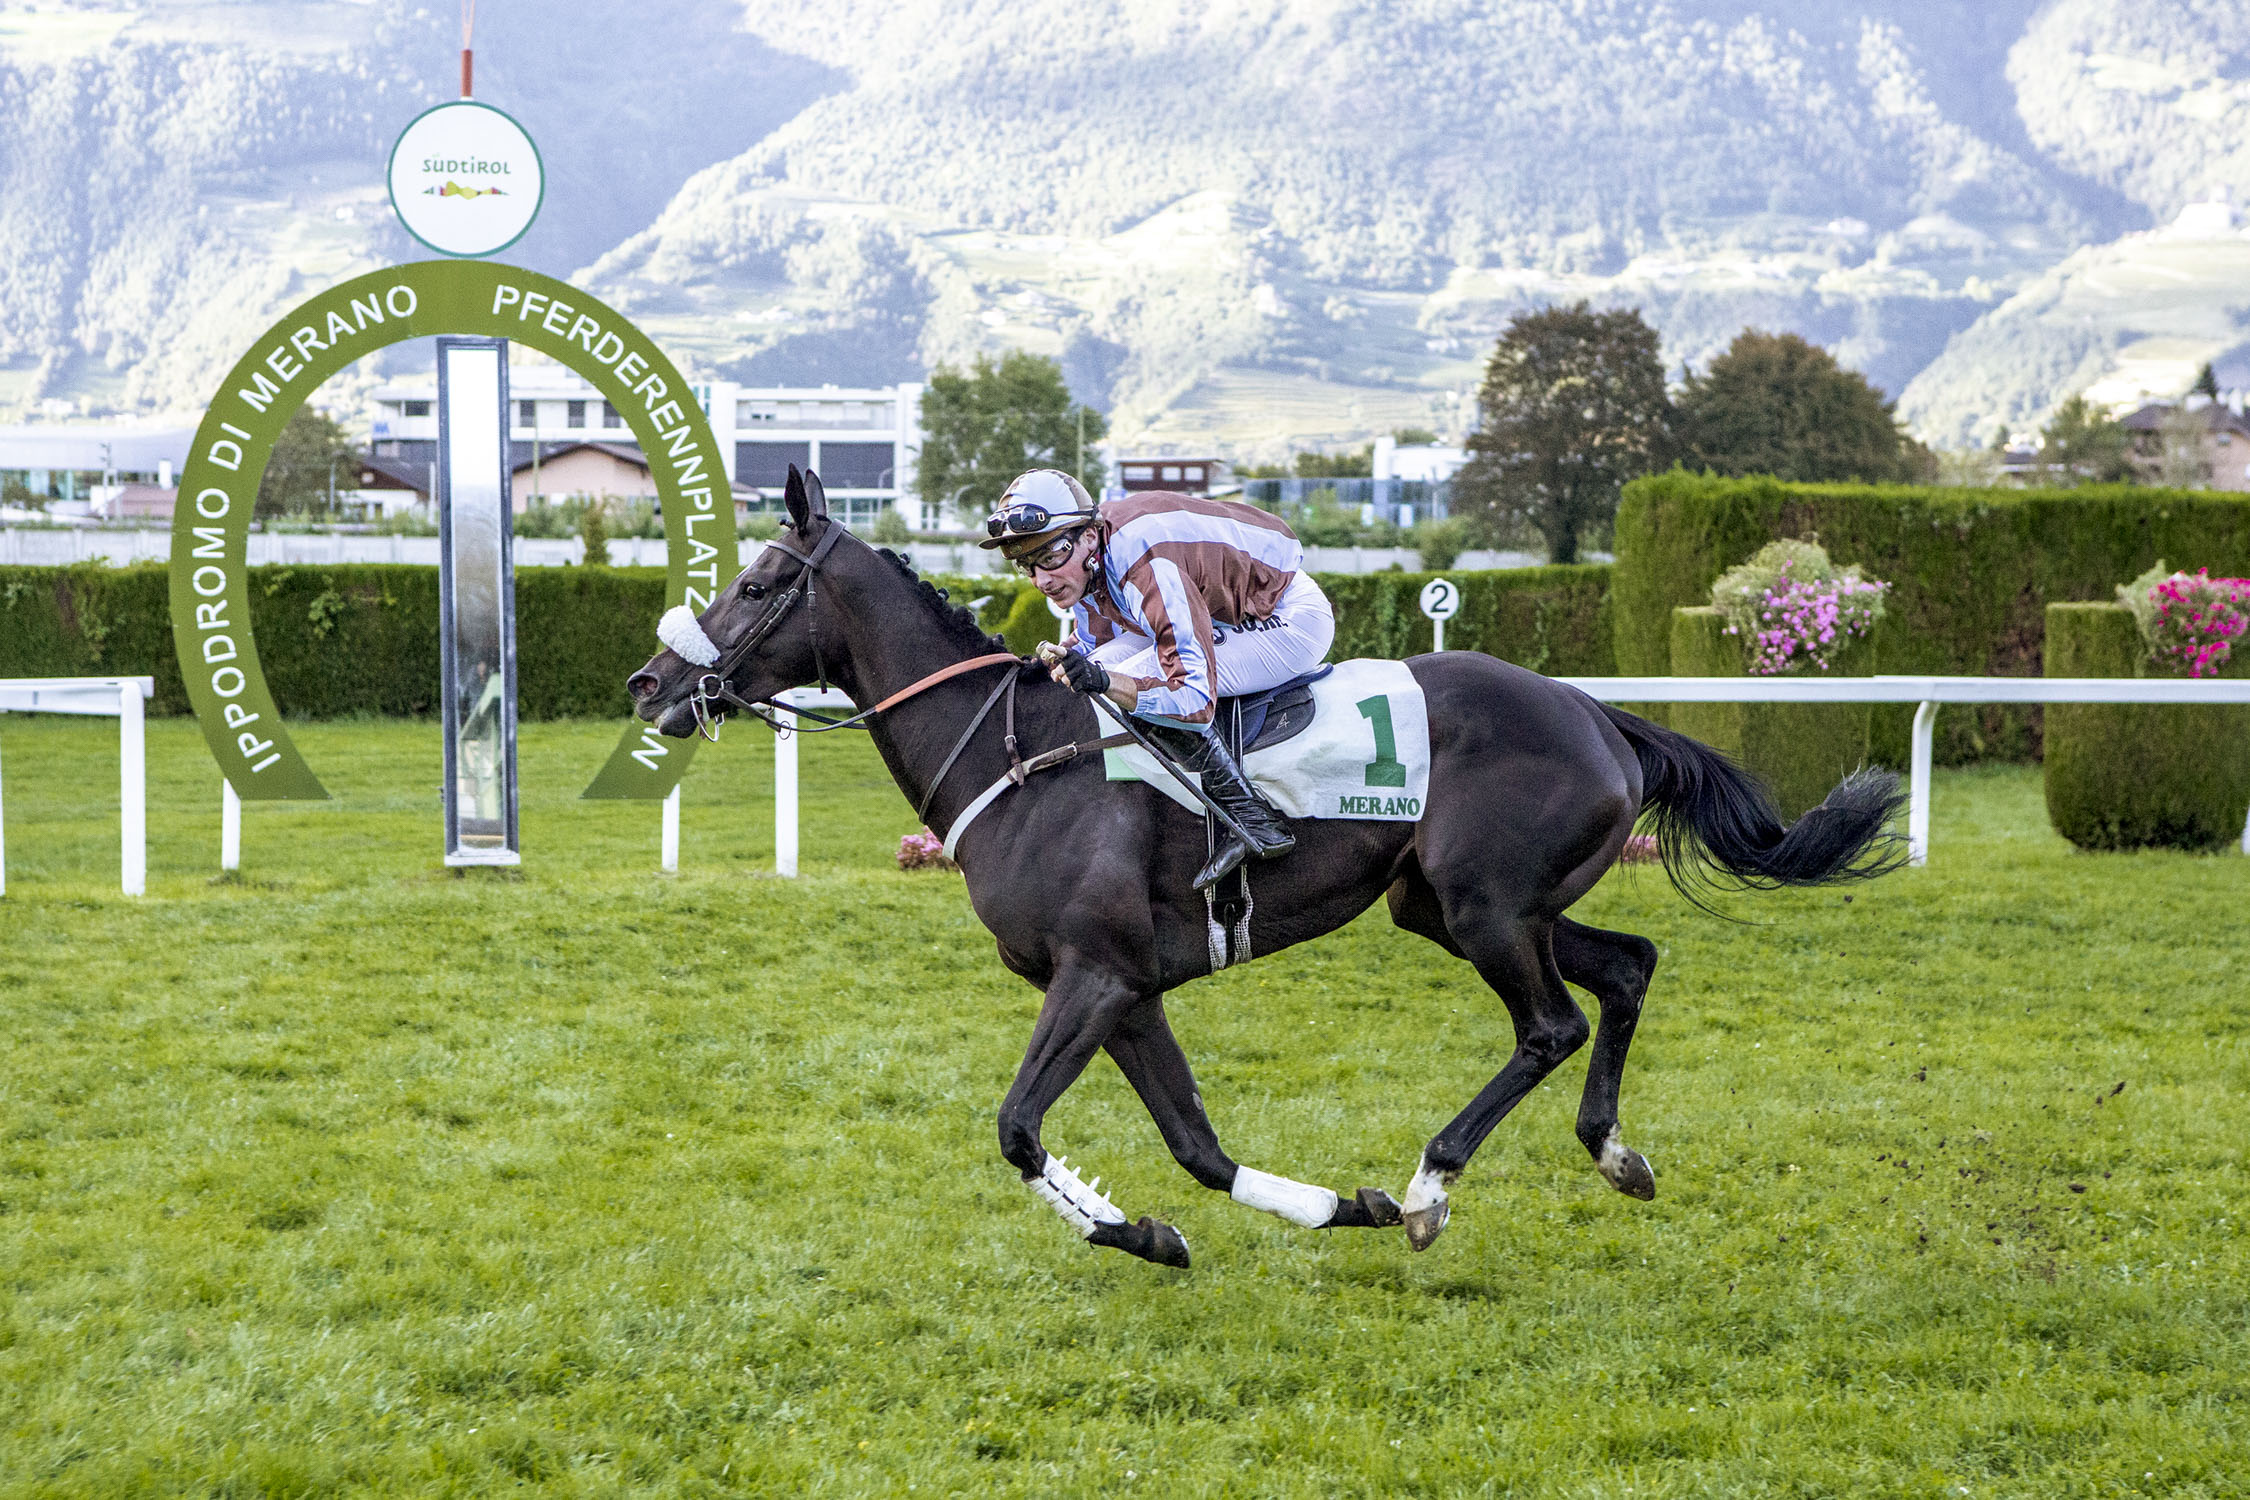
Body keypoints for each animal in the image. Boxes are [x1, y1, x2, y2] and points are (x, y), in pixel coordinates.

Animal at [630, 474, 1899, 1277]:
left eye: (756, 586)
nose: (650, 684)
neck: (1020, 757)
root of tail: (1597, 712)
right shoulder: (1129, 989)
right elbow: (1196, 1150)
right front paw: (1245, 1222)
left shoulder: (1093, 976)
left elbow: (1019, 1130)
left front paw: (1342, 1208)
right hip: (1458, 905)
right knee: (1628, 968)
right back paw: (1613, 1154)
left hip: (1487, 905)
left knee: (1551, 1024)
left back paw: (1434, 1185)